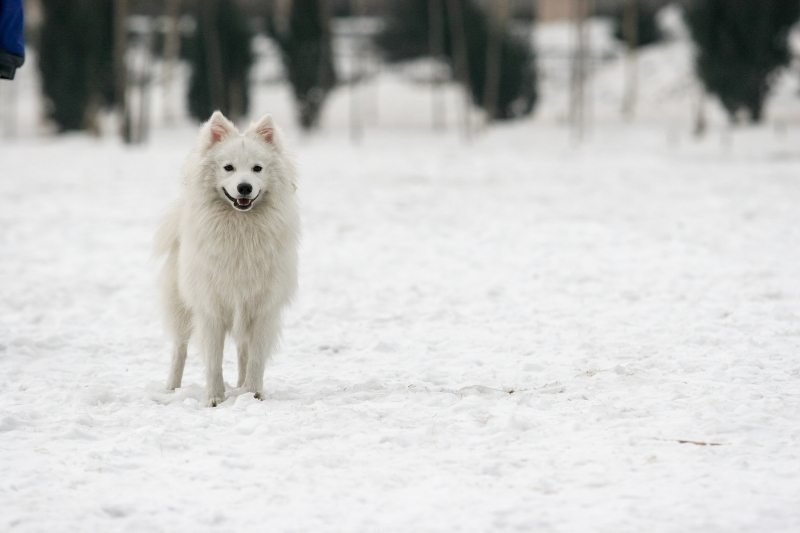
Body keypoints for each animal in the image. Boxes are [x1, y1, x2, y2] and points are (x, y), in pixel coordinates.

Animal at [155, 110, 298, 406]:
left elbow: (256, 358)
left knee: (243, 352)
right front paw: (214, 398)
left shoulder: (262, 307)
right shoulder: (210, 307)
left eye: (257, 168)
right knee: (179, 349)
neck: (240, 230)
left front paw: (253, 394)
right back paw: (172, 389)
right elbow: (213, 359)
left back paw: (242, 387)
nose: (244, 188)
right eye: (228, 168)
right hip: (181, 306)